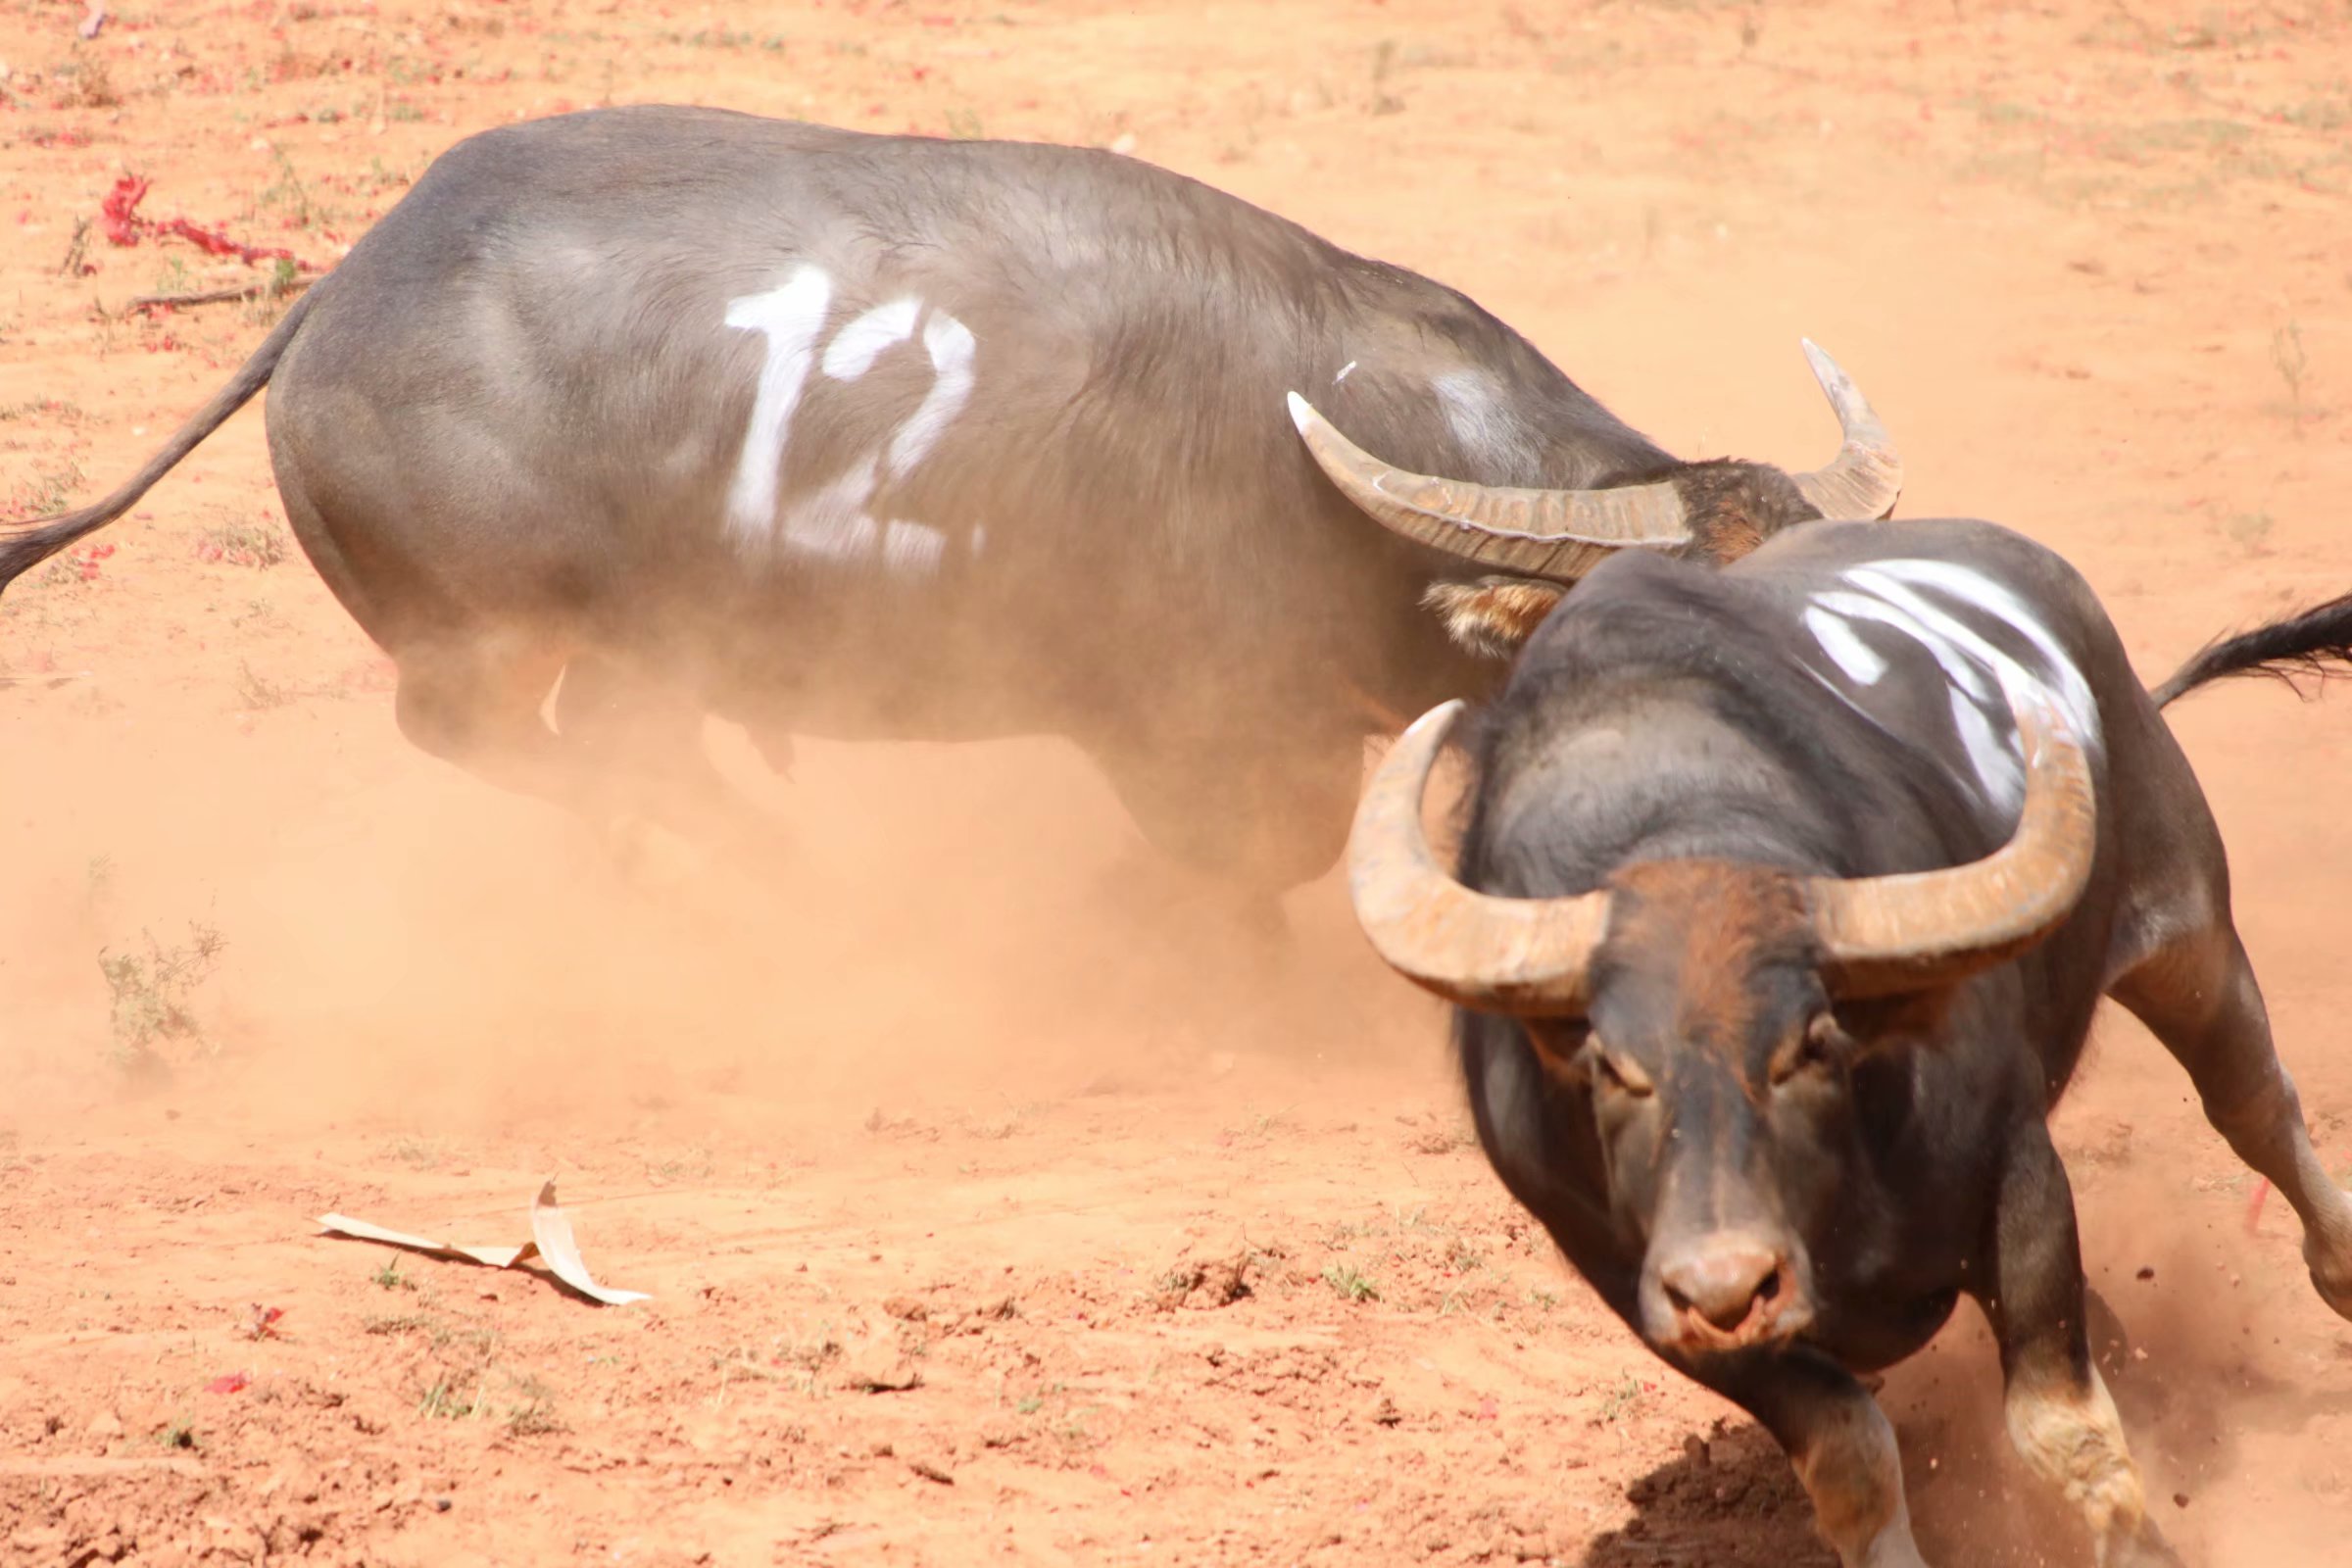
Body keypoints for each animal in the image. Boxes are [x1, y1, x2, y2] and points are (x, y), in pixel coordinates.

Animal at [0, 104, 1900, 921]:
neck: (1325, 459)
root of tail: (336, 295)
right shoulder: (1188, 731)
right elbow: (1260, 851)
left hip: (625, 642)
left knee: (618, 745)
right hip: (482, 641)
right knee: (501, 742)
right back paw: (780, 881)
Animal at [1345, 521, 2352, 1568]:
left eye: (1807, 1045)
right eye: (1612, 1068)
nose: (1725, 1281)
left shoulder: (2018, 1171)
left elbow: (2061, 1429)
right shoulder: (1647, 1291)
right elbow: (1850, 1457)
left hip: (2187, 926)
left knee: (2251, 1102)